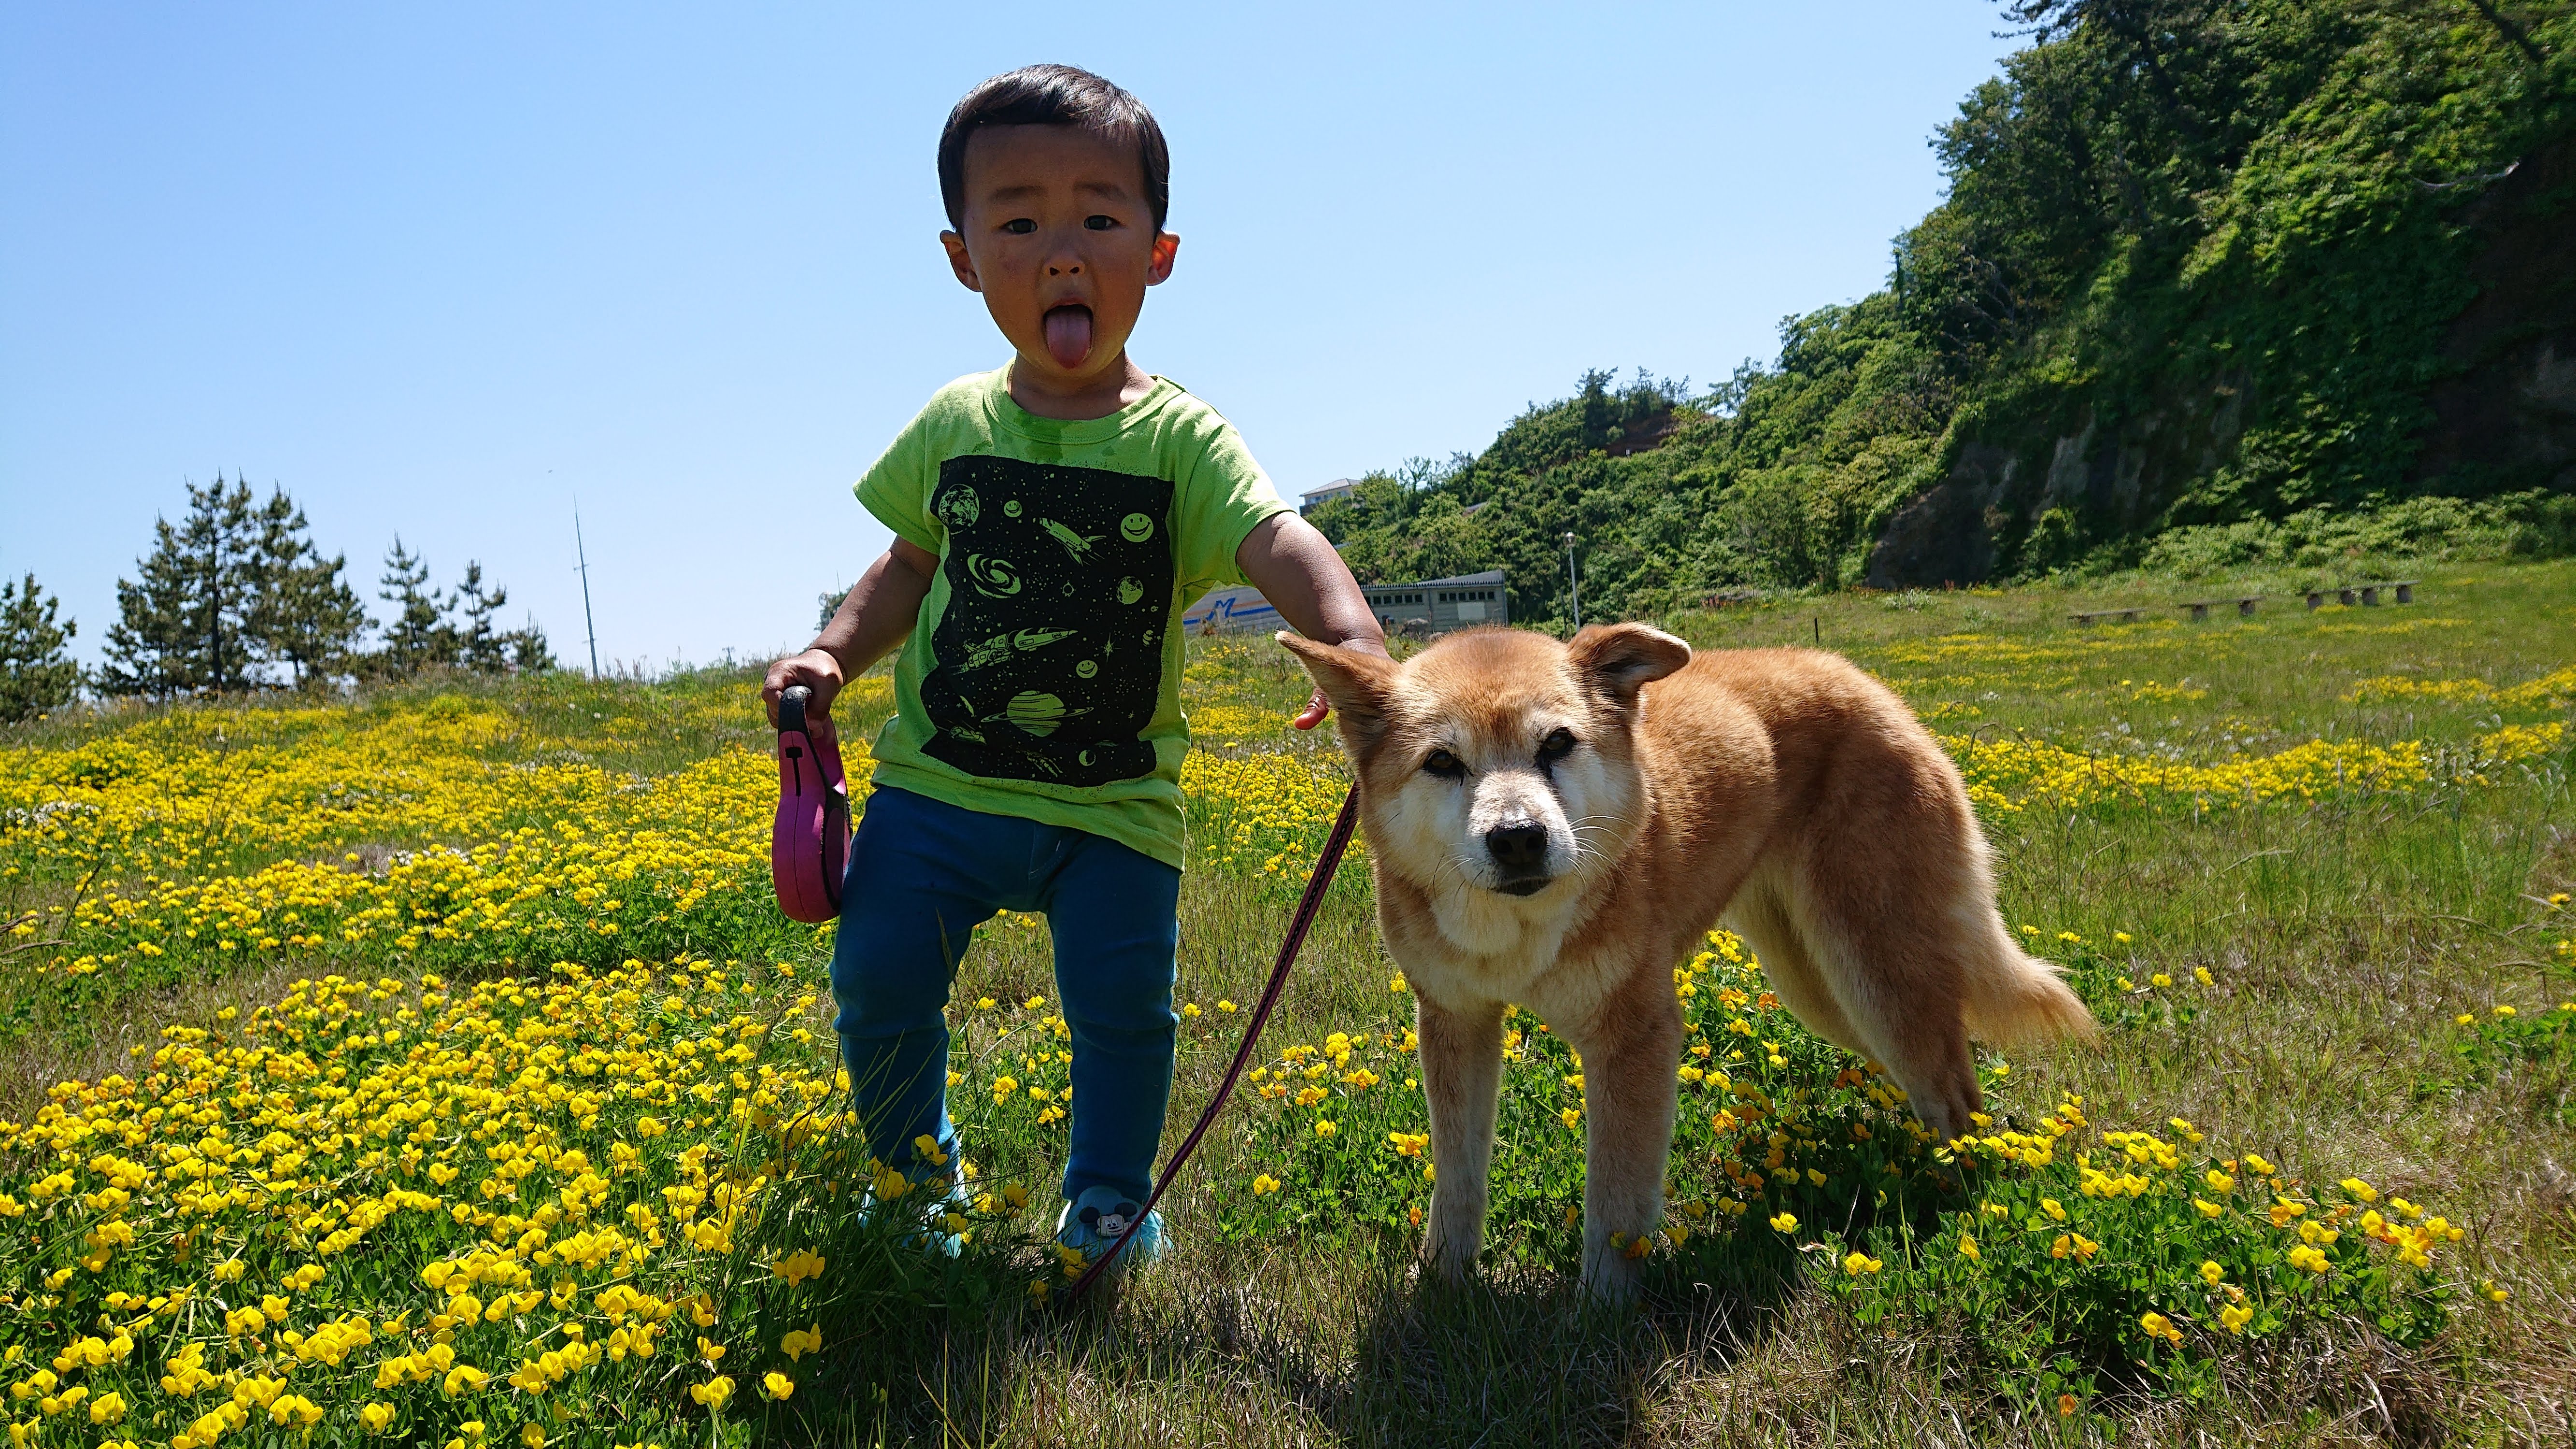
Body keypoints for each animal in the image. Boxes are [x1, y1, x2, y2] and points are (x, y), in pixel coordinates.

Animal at [1278, 623, 2102, 1302]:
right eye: (1442, 762)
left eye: (1557, 744)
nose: (1517, 838)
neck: (1515, 934)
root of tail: (1863, 680)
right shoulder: (1455, 1020)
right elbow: (1458, 1178)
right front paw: (1443, 1285)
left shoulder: (1635, 1035)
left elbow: (1616, 1199)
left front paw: (1601, 1315)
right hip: (1821, 987)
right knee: (1942, 1074)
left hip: (1870, 968)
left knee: (1954, 1091)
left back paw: (1963, 1204)